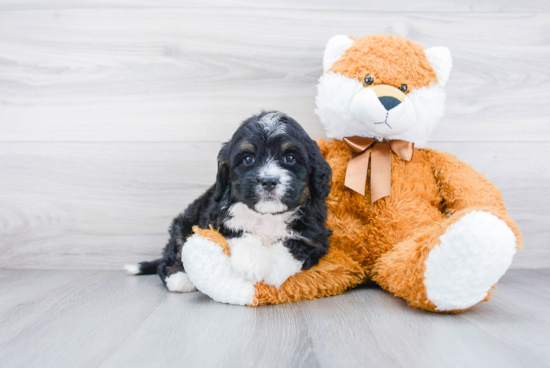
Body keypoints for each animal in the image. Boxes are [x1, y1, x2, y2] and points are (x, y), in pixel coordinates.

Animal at [126, 112, 332, 294]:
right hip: (184, 224)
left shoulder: (316, 234)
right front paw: (253, 262)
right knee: (169, 256)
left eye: (289, 158)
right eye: (248, 159)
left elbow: (295, 244)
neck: (267, 216)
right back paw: (179, 277)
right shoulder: (216, 218)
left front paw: (274, 268)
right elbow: (237, 231)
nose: (268, 181)